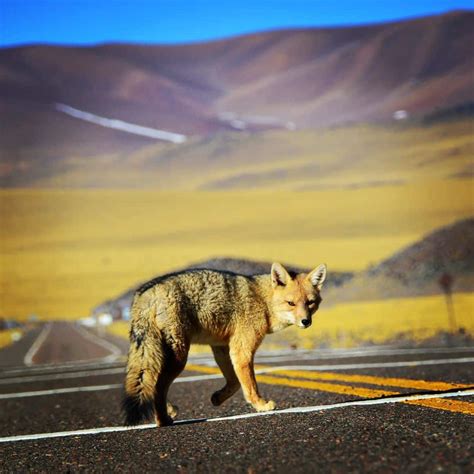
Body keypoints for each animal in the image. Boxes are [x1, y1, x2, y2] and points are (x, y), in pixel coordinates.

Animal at [123, 262, 326, 428]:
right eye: (291, 303)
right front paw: (261, 405)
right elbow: (250, 385)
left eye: (310, 303)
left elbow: (234, 382)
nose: (306, 321)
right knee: (157, 385)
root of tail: (147, 291)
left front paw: (217, 398)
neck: (263, 300)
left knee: (150, 383)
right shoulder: (242, 350)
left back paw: (169, 411)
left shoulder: (221, 347)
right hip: (178, 356)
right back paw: (163, 419)